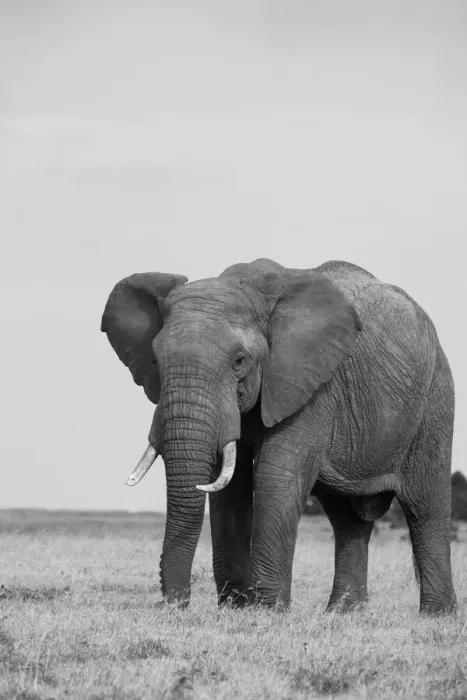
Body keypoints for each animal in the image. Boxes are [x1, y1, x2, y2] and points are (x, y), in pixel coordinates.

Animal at [101, 258, 456, 615]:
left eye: (239, 361)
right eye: (156, 361)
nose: (175, 605)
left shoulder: (308, 382)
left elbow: (276, 476)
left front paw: (267, 611)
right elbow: (230, 487)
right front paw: (236, 608)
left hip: (435, 400)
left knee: (425, 508)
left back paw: (435, 616)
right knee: (347, 519)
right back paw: (343, 614)